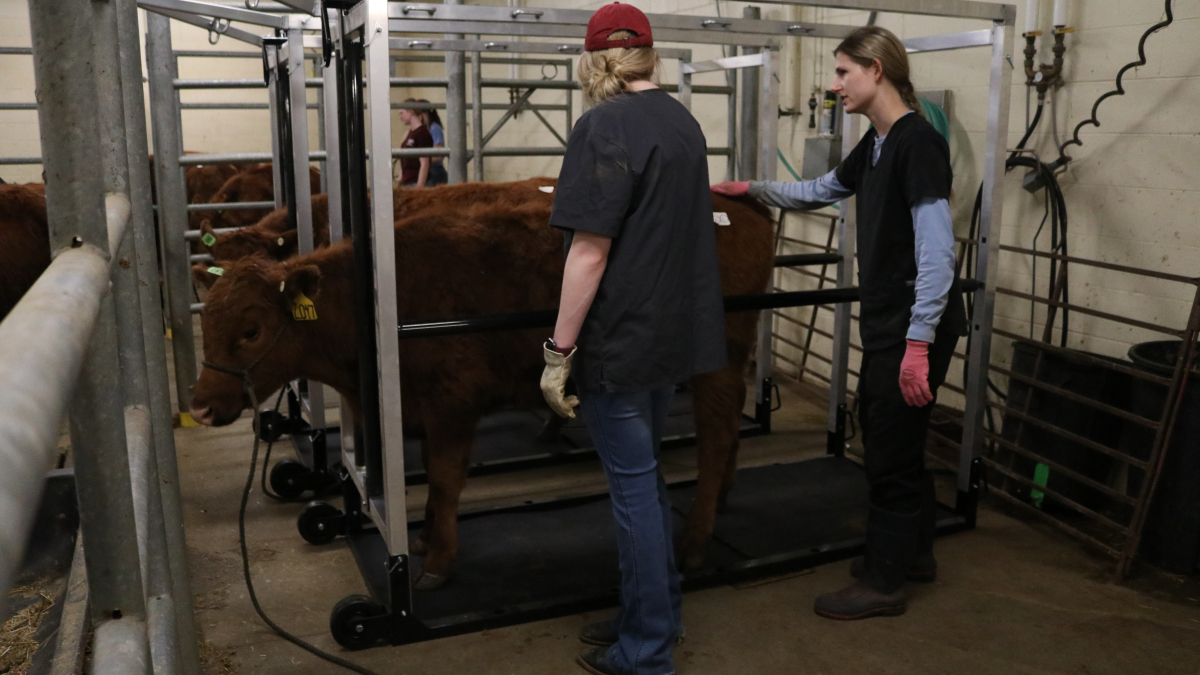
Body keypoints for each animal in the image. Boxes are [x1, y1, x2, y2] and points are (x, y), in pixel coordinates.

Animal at [187, 181, 768, 586]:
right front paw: (424, 537)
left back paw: (693, 542)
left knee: (716, 435)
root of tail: (736, 206)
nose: (200, 407)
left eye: (251, 330)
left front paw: (438, 559)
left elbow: (445, 481)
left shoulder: (451, 408)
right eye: (206, 318)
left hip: (714, 365)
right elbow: (431, 482)